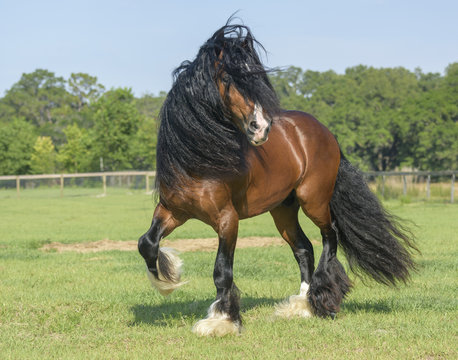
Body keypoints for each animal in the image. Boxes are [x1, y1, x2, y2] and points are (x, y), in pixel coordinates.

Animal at [137, 23, 416, 338]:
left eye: (256, 79)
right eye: (227, 78)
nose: (261, 127)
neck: (201, 160)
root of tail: (325, 132)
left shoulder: (227, 220)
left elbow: (222, 270)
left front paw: (221, 320)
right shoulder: (172, 211)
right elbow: (147, 243)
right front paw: (169, 277)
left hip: (313, 200)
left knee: (329, 236)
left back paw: (323, 297)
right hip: (283, 210)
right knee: (304, 248)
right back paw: (301, 305)